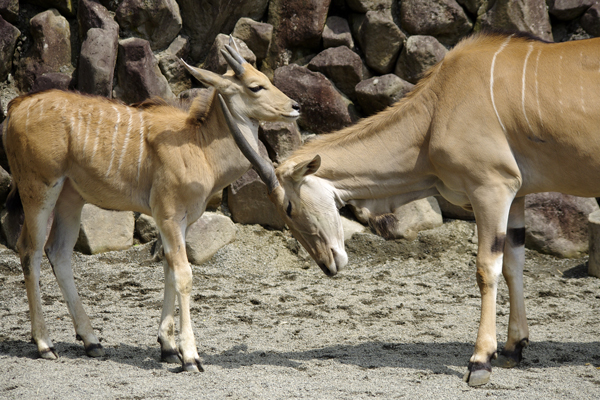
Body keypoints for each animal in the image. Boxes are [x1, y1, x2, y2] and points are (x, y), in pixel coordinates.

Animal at [223, 32, 600, 386]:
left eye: (288, 206)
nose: (328, 265)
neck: (437, 108)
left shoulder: (492, 188)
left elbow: (486, 269)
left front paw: (480, 361)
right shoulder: (517, 195)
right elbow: (514, 265)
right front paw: (512, 349)